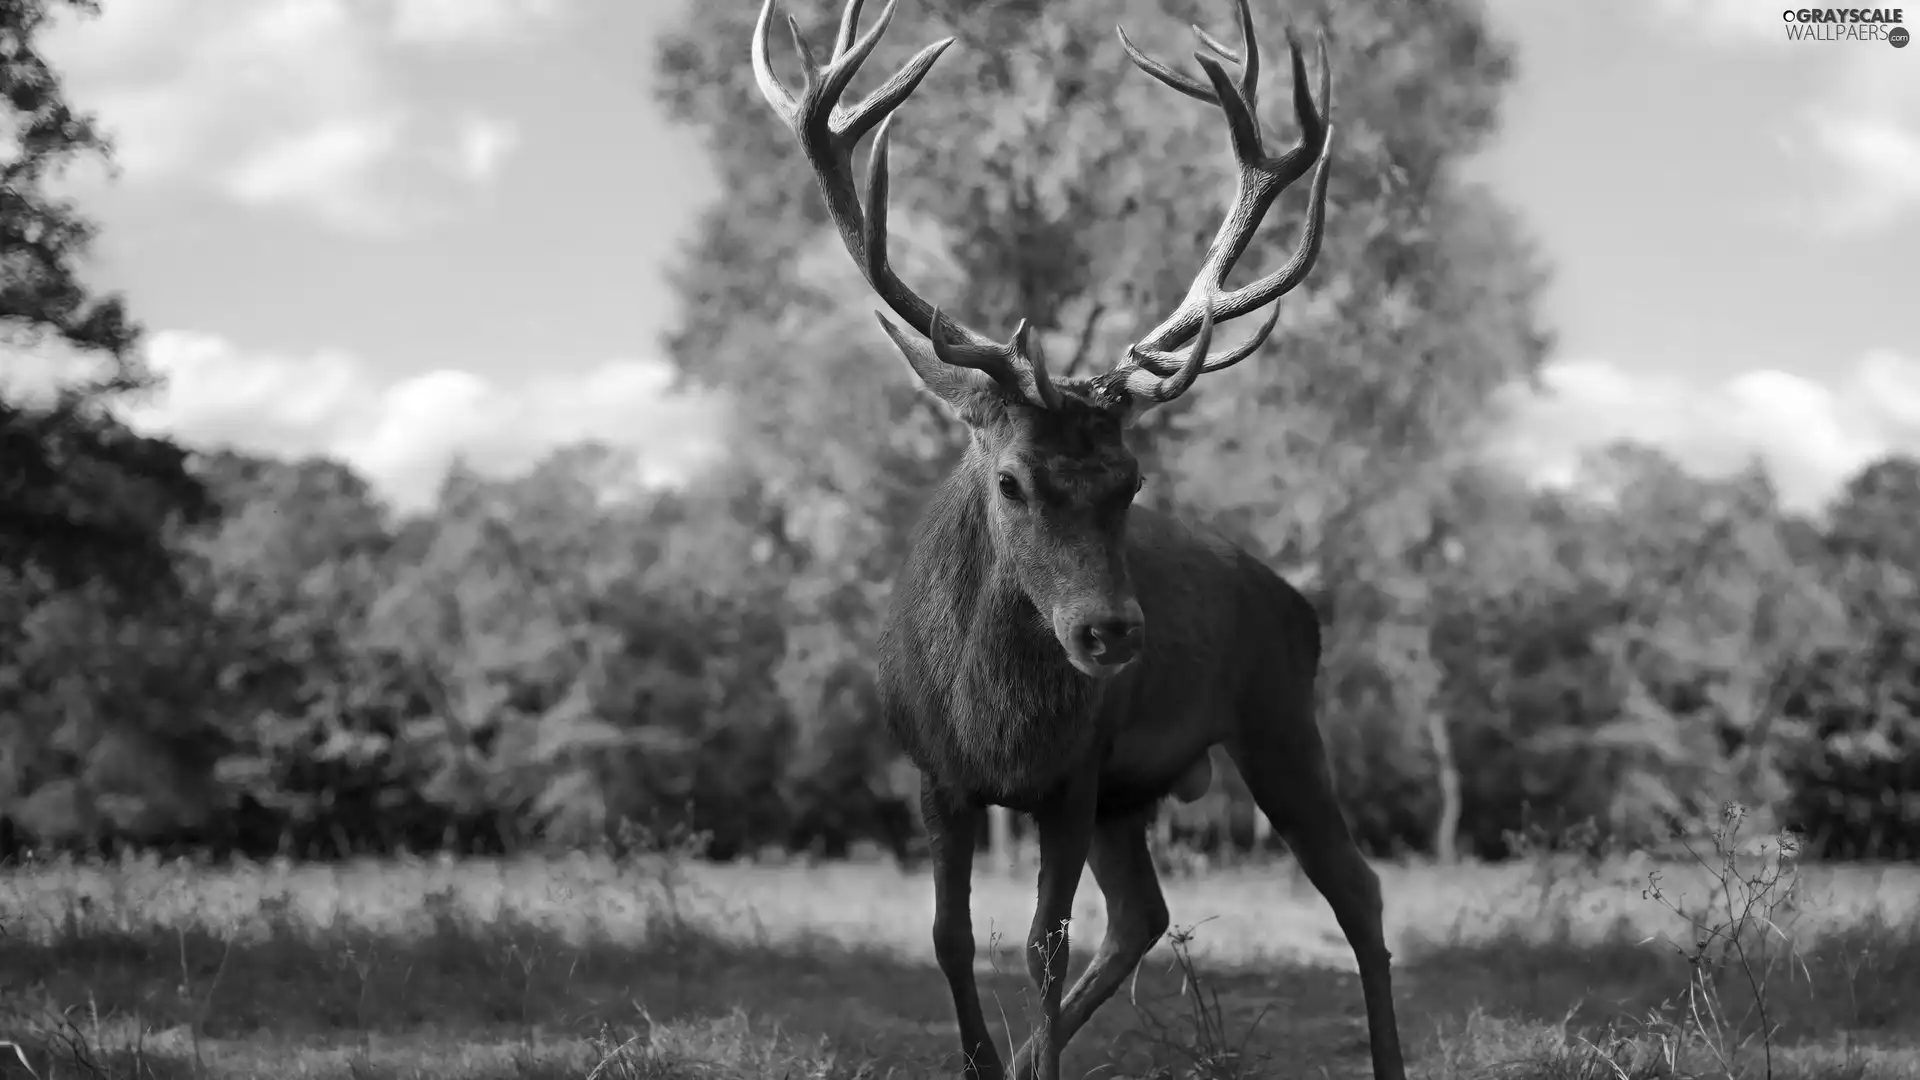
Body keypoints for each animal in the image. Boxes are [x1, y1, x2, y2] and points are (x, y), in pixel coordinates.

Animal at [752, 0, 1413, 1068]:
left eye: (1132, 480)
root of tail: (1297, 601)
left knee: (1356, 888)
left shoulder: (1073, 774)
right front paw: (983, 1064)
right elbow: (949, 937)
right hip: (1135, 793)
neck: (994, 722)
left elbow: (1042, 948)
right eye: (1012, 479)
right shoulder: (937, 775)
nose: (1111, 634)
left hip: (1278, 716)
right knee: (1145, 915)